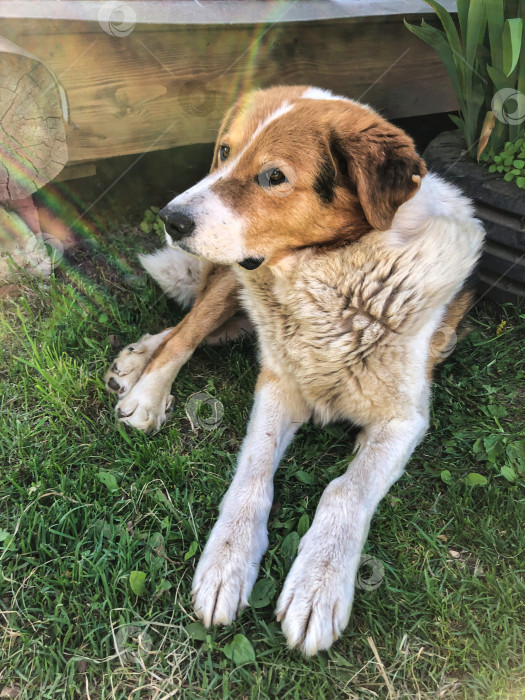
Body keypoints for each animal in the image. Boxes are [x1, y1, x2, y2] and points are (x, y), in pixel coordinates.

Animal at [105, 87, 484, 656]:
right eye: (223, 151)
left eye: (274, 176)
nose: (171, 220)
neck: (332, 275)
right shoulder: (278, 384)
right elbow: (253, 474)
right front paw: (227, 562)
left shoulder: (405, 418)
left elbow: (345, 491)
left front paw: (318, 584)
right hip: (230, 278)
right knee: (186, 332)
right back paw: (145, 388)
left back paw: (135, 361)